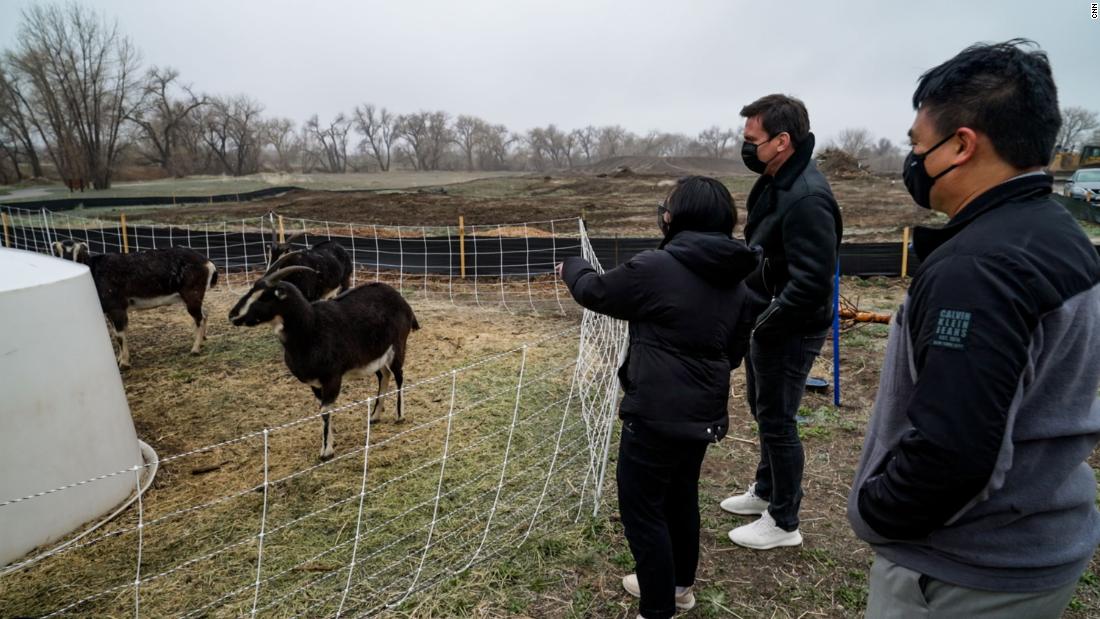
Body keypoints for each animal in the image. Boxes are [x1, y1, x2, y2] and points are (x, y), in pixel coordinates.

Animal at [52, 239, 220, 367]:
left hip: (192, 293)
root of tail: (208, 263)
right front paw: (120, 358)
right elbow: (116, 334)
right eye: (57, 253)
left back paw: (195, 349)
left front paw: (124, 363)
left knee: (198, 318)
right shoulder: (109, 311)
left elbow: (119, 336)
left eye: (79, 253)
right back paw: (202, 341)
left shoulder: (117, 307)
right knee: (204, 314)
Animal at [229, 266, 418, 459]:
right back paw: (374, 416)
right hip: (375, 356)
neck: (311, 328)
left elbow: (325, 411)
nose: (233, 315)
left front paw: (326, 452)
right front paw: (330, 443)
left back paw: (399, 416)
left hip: (398, 346)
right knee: (384, 375)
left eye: (263, 296)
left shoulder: (332, 377)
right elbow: (323, 411)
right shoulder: (315, 383)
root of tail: (402, 301)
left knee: (399, 376)